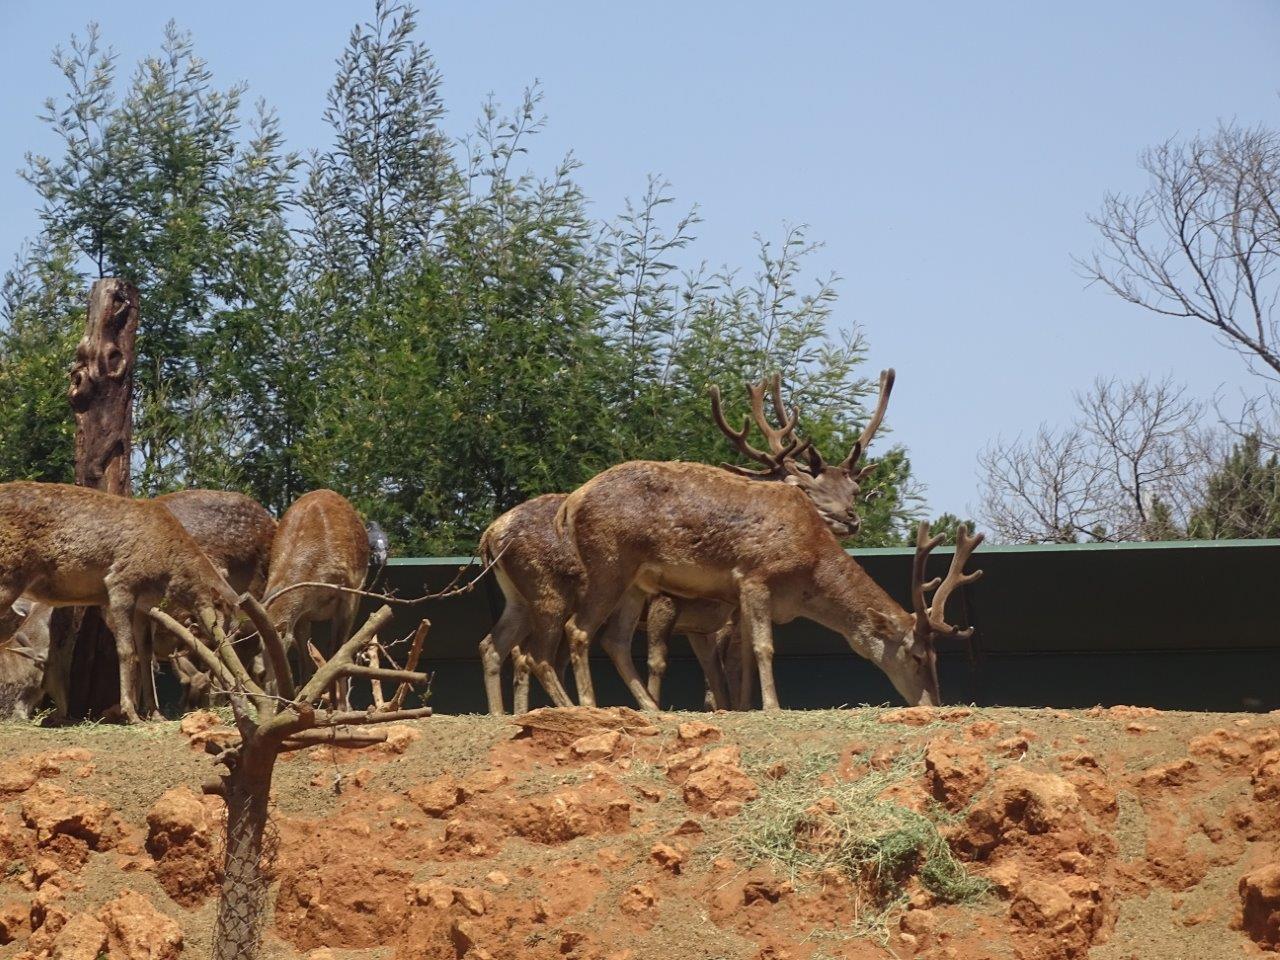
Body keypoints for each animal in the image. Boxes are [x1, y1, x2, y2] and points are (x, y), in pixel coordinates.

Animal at [0, 481, 240, 723]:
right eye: (220, 615)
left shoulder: (144, 605)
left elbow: (146, 653)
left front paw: (156, 714)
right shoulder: (120, 585)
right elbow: (126, 650)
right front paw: (131, 714)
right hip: (8, 579)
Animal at [263, 489, 370, 707]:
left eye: (279, 656)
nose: (270, 695)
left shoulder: (347, 596)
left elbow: (338, 652)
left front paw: (341, 708)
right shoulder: (303, 615)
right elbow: (305, 658)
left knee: (338, 646)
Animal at [478, 370, 896, 712]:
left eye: (854, 490)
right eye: (804, 487)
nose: (850, 518)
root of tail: (490, 534)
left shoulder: (713, 621)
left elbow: (724, 672)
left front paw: (735, 707)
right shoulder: (669, 603)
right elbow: (664, 662)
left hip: (522, 599)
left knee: (499, 647)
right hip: (551, 592)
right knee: (533, 653)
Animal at [557, 460, 983, 710]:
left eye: (938, 658)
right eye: (917, 656)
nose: (933, 702)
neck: (808, 572)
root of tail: (572, 502)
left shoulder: (741, 596)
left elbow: (743, 655)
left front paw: (746, 707)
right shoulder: (755, 576)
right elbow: (764, 648)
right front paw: (773, 706)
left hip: (638, 582)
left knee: (614, 639)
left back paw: (652, 709)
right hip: (609, 562)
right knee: (577, 629)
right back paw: (589, 705)